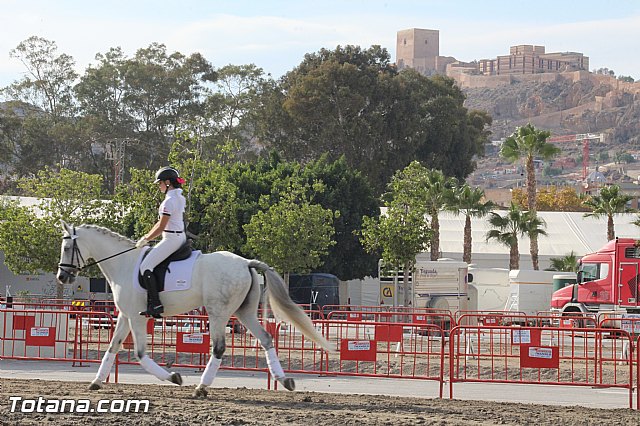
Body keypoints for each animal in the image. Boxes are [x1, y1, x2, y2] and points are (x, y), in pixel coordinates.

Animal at [56, 221, 334, 397]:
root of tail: (246, 263)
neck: (124, 263)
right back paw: (284, 380)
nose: (62, 277)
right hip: (243, 312)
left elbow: (140, 354)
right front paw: (95, 382)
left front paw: (174, 377)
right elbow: (112, 348)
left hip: (218, 312)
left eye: (68, 248)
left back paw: (201, 387)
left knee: (219, 348)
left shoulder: (136, 317)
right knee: (266, 338)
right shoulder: (125, 315)